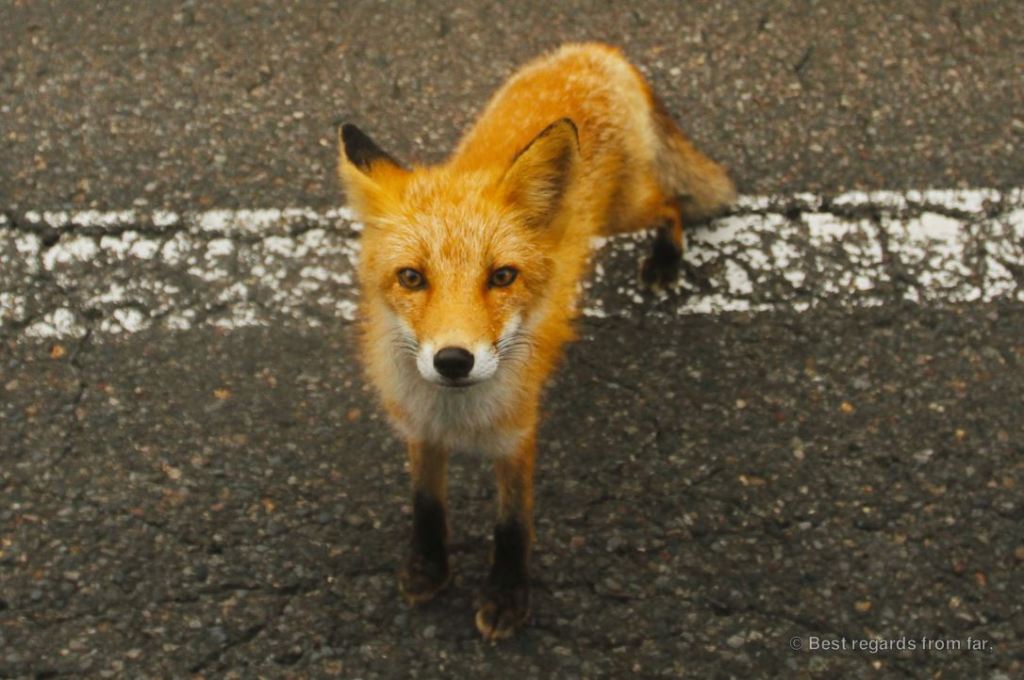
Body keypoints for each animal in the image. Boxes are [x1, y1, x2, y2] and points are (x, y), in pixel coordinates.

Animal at [337, 42, 735, 640]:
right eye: (411, 278)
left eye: (503, 277)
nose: (453, 360)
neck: (458, 416)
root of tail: (592, 50)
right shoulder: (419, 429)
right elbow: (427, 505)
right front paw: (427, 566)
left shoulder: (517, 434)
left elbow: (512, 525)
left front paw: (507, 596)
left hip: (622, 212)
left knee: (669, 202)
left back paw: (666, 260)